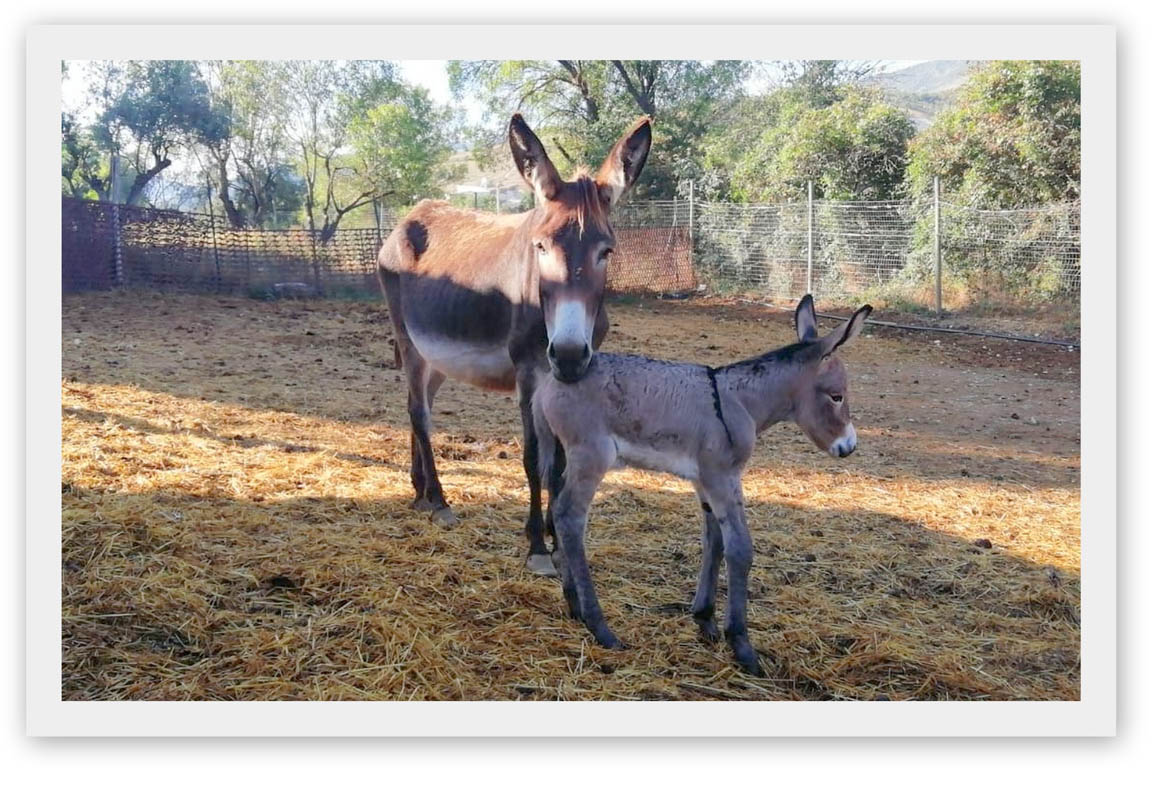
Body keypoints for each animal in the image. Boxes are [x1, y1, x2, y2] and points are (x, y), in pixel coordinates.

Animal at [534, 296, 872, 676]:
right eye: (837, 396)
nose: (849, 447)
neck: (738, 401)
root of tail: (548, 384)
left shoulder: (705, 481)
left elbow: (714, 541)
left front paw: (705, 618)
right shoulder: (722, 477)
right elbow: (739, 548)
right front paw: (740, 643)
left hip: (563, 453)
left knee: (555, 509)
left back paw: (574, 604)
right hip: (592, 455)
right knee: (569, 517)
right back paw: (600, 626)